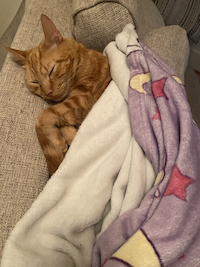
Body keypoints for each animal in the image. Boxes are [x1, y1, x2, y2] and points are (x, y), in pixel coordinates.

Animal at [5, 14, 111, 176]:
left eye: (51, 71)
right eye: (35, 82)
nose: (48, 92)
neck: (82, 60)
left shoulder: (80, 98)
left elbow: (44, 115)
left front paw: (57, 141)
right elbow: (62, 121)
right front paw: (67, 137)